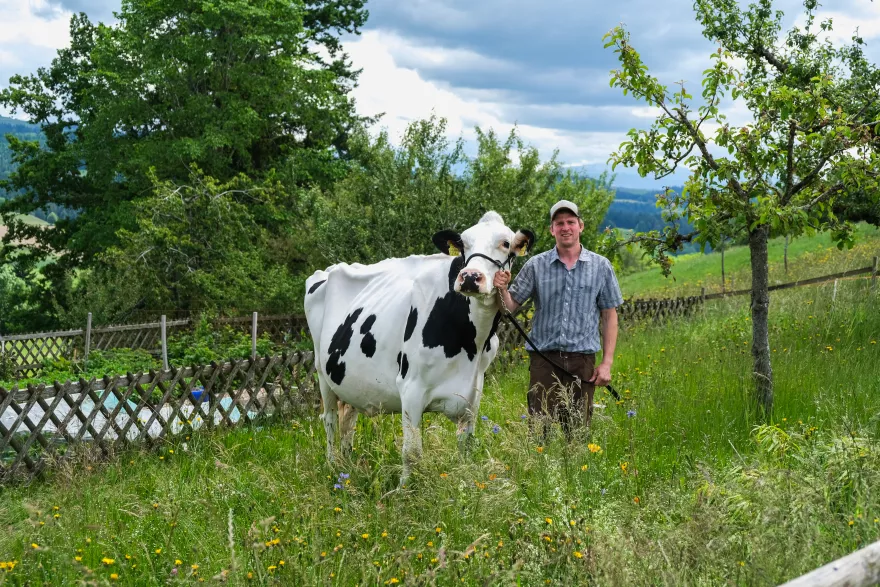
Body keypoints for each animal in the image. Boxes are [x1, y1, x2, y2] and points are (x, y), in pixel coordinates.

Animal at [302, 211, 536, 482]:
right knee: (329, 420)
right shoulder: (410, 388)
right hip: (322, 374)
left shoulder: (473, 392)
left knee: (347, 421)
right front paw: (405, 489)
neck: (471, 343)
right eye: (463, 244)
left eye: (506, 243)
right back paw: (333, 467)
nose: (469, 277)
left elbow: (466, 447)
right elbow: (412, 452)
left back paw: (347, 468)